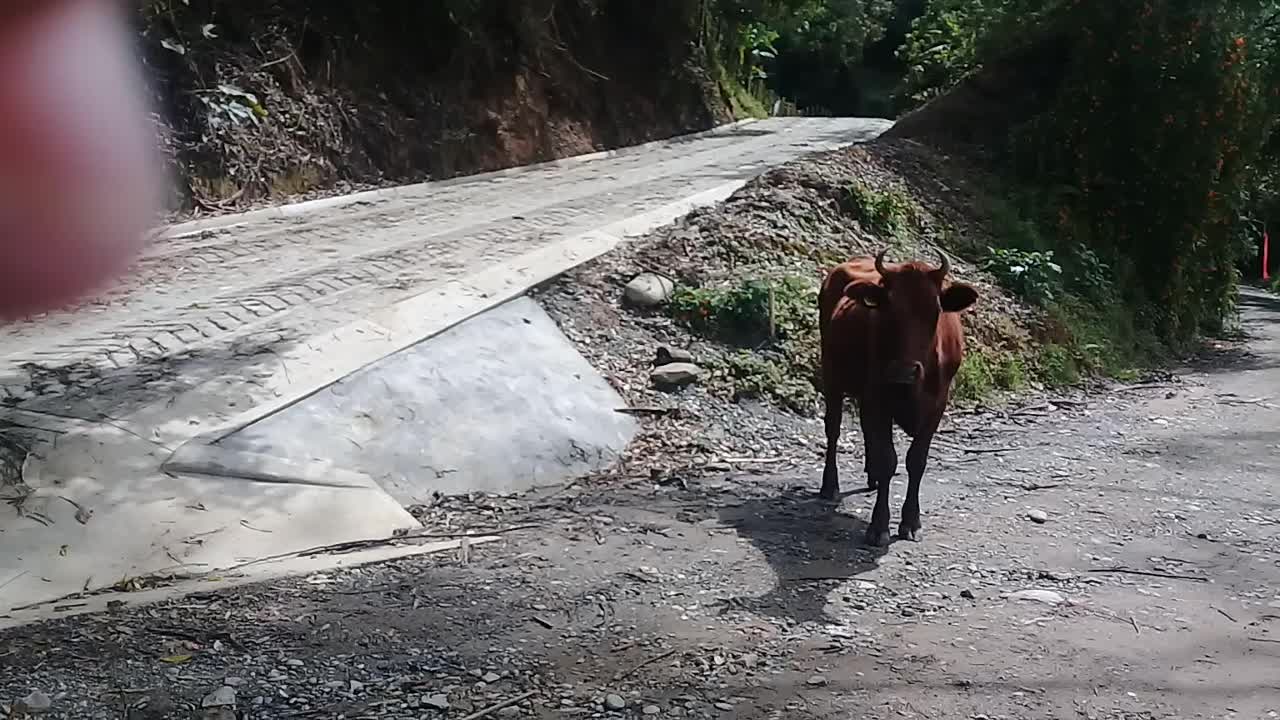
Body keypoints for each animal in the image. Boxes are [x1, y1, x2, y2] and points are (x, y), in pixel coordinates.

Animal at [819, 245, 977, 543]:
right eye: (889, 308)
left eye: (935, 311)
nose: (904, 371)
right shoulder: (878, 398)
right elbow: (888, 460)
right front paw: (879, 525)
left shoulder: (937, 406)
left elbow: (917, 461)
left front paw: (911, 521)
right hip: (831, 373)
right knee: (833, 429)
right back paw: (829, 486)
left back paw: (870, 478)